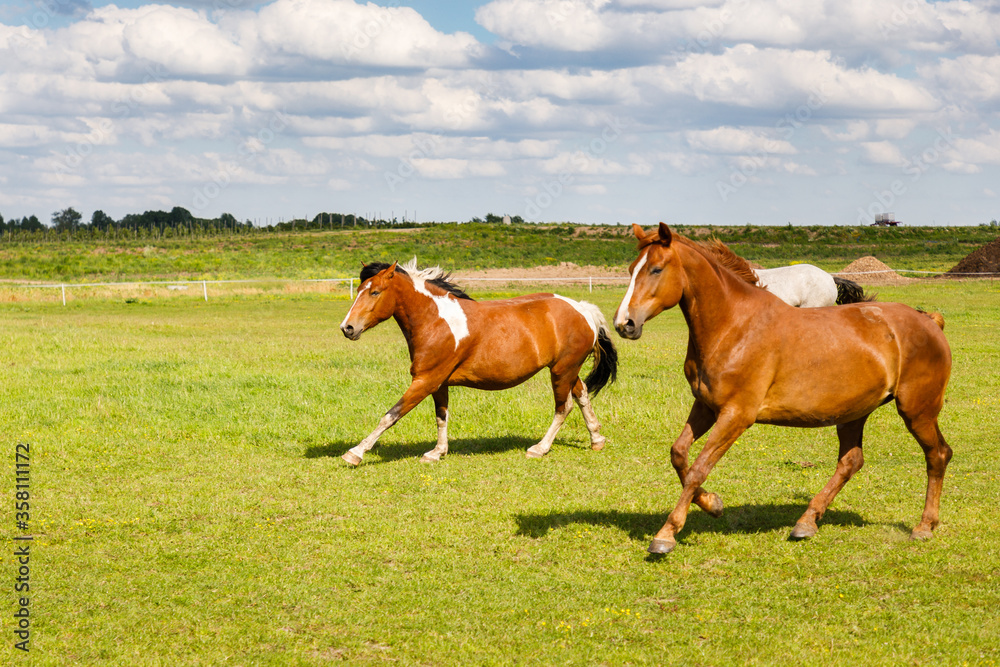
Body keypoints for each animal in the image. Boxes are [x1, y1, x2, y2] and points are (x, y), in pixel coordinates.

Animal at [339, 259, 618, 465]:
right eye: (360, 290)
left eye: (375, 292)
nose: (347, 328)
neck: (435, 320)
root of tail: (582, 308)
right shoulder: (439, 383)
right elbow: (441, 416)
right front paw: (436, 452)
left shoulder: (425, 380)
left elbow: (390, 415)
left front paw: (355, 453)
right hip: (567, 369)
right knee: (582, 395)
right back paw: (596, 439)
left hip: (561, 371)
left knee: (564, 407)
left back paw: (539, 448)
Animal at [614, 223, 952, 554]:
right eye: (631, 269)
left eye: (656, 269)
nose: (624, 324)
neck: (734, 326)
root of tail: (930, 321)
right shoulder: (707, 407)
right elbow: (679, 455)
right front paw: (713, 504)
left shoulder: (737, 415)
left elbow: (699, 468)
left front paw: (666, 535)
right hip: (854, 412)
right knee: (851, 461)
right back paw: (807, 522)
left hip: (917, 411)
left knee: (937, 455)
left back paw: (924, 527)